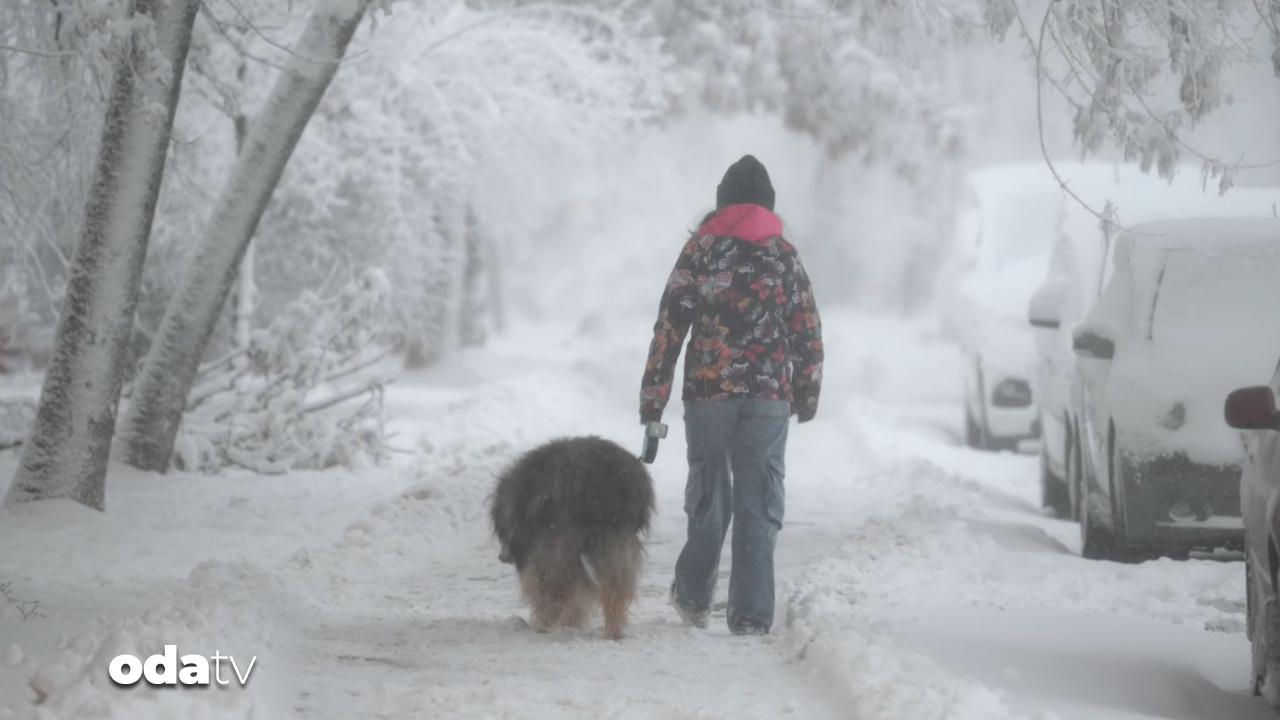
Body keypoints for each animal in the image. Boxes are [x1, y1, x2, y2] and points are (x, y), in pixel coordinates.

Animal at [486, 435, 655, 635]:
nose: (501, 557)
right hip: (616, 540)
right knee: (615, 588)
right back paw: (614, 631)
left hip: (559, 541)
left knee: (554, 587)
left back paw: (545, 623)